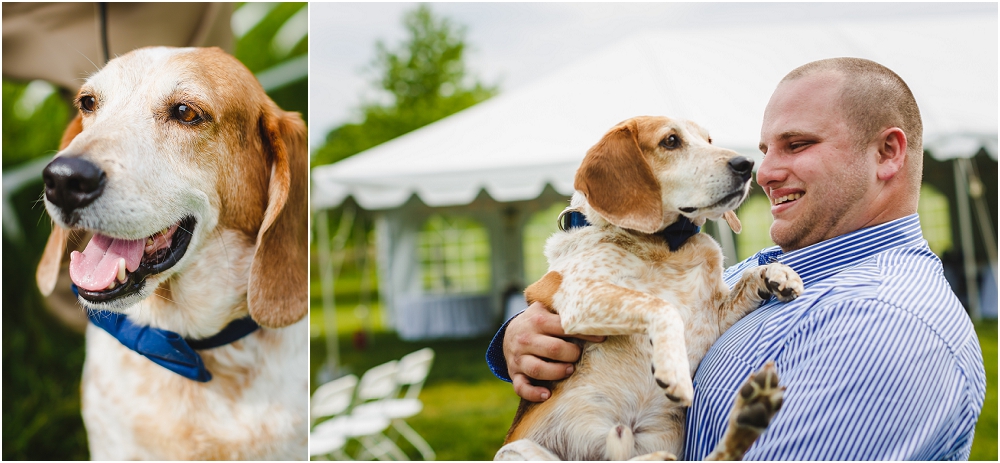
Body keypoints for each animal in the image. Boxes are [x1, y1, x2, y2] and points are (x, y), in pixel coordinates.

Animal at [496, 116, 800, 460]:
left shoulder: (714, 316)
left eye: (709, 140)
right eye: (670, 141)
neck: (667, 244)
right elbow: (662, 306)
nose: (746, 164)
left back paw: (751, 414)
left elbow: (749, 274)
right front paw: (675, 370)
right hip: (515, 449)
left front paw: (777, 272)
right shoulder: (578, 295)